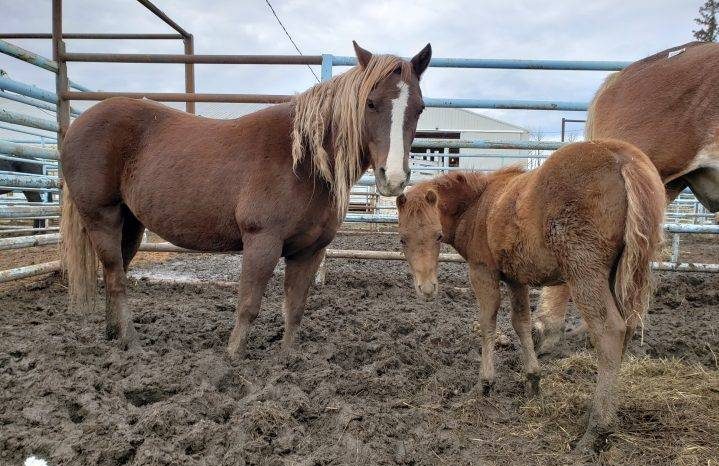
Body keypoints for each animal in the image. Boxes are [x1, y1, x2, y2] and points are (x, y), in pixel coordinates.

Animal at [60, 41, 432, 357]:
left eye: (419, 108)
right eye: (370, 102)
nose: (393, 178)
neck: (304, 162)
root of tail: (77, 126)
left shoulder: (310, 250)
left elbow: (295, 307)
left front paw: (287, 358)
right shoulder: (261, 242)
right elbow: (248, 306)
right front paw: (231, 359)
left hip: (131, 223)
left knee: (116, 273)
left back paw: (114, 336)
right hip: (102, 218)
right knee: (116, 277)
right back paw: (132, 343)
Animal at [396, 139, 665, 452]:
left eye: (438, 236)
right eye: (402, 238)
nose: (426, 289)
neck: (479, 205)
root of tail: (623, 159)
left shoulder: (482, 270)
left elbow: (487, 323)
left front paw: (484, 384)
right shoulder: (516, 278)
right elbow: (521, 323)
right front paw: (533, 381)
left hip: (585, 271)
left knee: (609, 331)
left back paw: (597, 430)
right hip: (619, 272)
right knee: (629, 327)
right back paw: (594, 411)